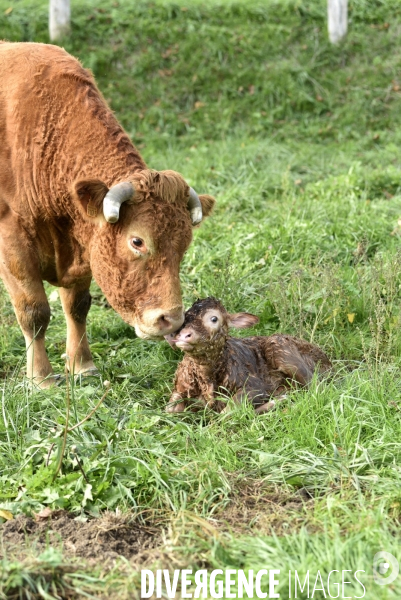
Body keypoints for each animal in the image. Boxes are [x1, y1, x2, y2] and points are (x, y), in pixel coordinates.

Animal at [0, 43, 216, 390]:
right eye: (137, 241)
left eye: (184, 246)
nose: (171, 319)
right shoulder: (12, 239)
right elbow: (34, 312)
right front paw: (41, 379)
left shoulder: (84, 246)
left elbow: (77, 306)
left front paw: (82, 365)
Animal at [166, 298, 332, 414]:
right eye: (184, 319)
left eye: (214, 318)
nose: (183, 335)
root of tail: (329, 363)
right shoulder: (180, 387)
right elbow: (170, 410)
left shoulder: (256, 386)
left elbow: (227, 411)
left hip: (281, 348)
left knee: (316, 389)